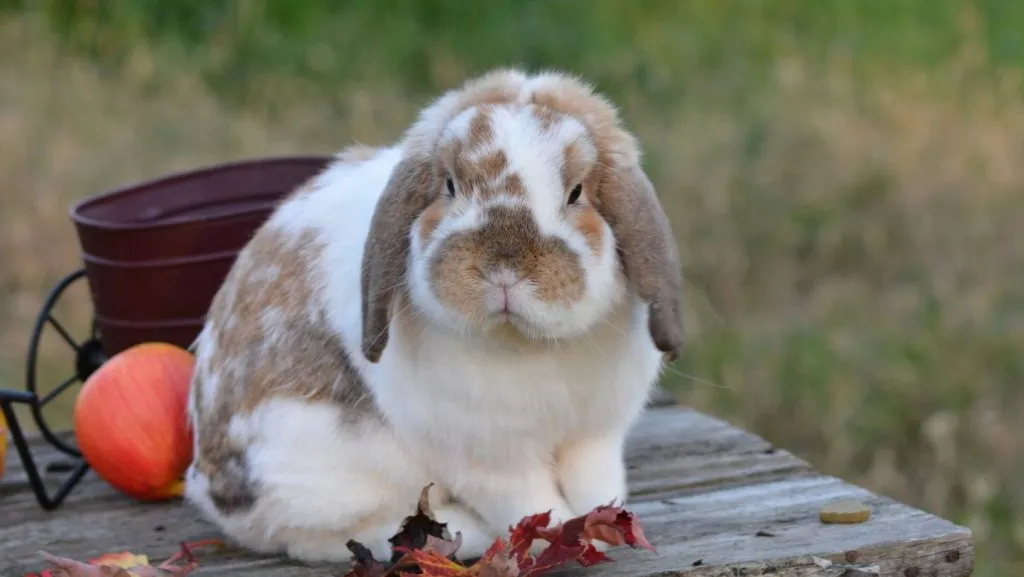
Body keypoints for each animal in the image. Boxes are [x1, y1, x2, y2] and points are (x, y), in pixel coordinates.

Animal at [183, 68, 684, 565]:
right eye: (450, 186)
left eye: (577, 192)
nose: (503, 269)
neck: (526, 344)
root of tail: (211, 489)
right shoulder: (489, 460)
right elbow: (531, 502)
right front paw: (559, 534)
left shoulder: (595, 439)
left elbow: (595, 486)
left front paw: (601, 529)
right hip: (327, 477)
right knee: (318, 538)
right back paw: (457, 533)